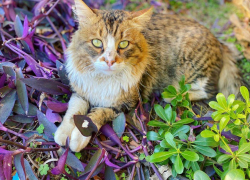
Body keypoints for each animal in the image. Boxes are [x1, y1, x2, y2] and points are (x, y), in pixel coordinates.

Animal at [54, 0, 244, 152]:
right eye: (96, 42)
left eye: (123, 44)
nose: (109, 61)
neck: (103, 81)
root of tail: (220, 43)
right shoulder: (81, 90)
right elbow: (74, 110)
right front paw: (63, 133)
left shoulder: (124, 103)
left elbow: (93, 116)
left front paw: (78, 138)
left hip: (192, 69)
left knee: (210, 91)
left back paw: (171, 94)